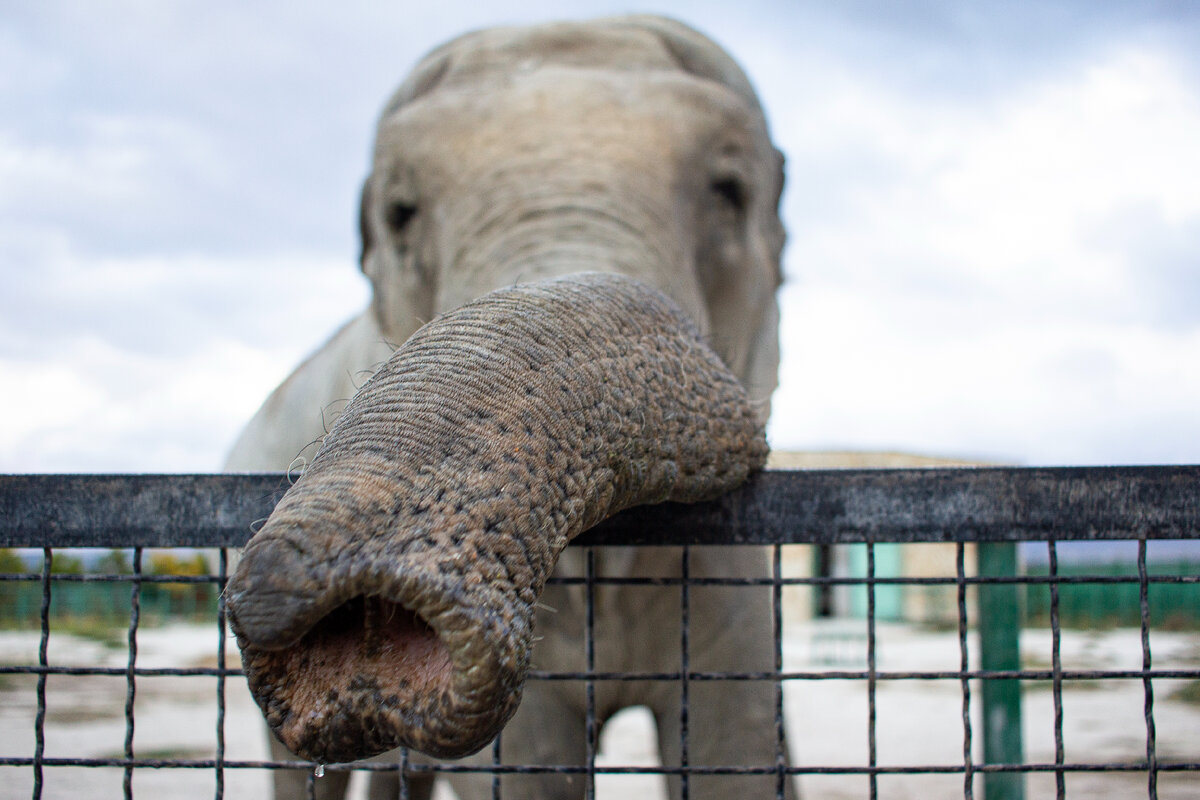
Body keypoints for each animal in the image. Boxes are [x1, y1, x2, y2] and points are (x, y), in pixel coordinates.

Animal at [225, 12, 796, 800]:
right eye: (401, 213)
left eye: (730, 190)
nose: (350, 614)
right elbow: (528, 769)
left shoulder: (727, 566)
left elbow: (732, 748)